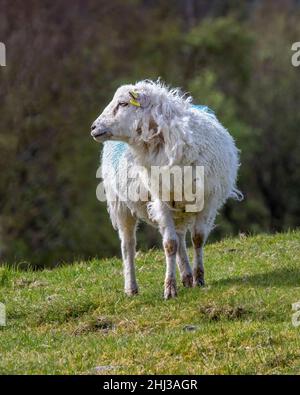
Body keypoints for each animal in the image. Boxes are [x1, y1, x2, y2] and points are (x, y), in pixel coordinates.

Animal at [91, 79, 241, 300]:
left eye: (123, 103)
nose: (93, 127)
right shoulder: (161, 201)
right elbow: (169, 244)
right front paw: (170, 288)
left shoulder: (208, 200)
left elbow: (197, 239)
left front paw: (199, 278)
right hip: (121, 204)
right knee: (128, 245)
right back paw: (131, 287)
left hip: (179, 205)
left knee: (180, 236)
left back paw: (187, 275)